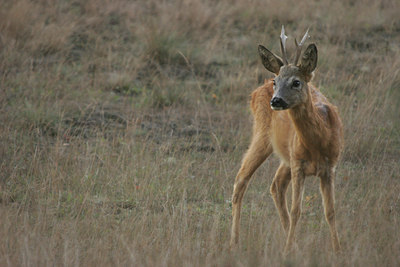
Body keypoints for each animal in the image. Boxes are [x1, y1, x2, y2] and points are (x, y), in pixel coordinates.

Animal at [230, 26, 342, 254]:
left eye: (296, 82)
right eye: (277, 81)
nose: (276, 100)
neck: (319, 143)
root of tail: (258, 89)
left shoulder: (329, 167)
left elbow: (330, 211)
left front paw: (337, 250)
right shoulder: (299, 165)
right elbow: (296, 210)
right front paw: (287, 250)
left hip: (286, 156)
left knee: (276, 185)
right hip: (263, 137)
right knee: (241, 179)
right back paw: (234, 242)